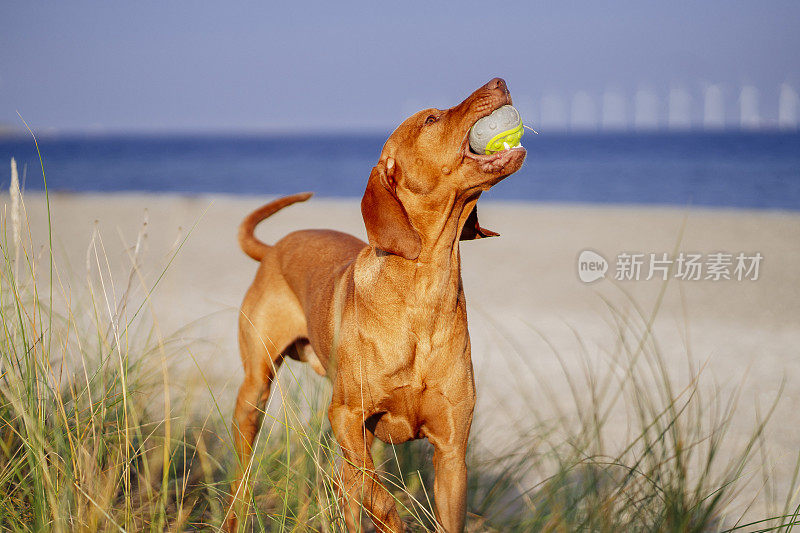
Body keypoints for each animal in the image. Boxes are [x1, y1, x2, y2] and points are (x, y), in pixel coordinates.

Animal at [227, 77, 524, 528]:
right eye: (430, 119)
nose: (500, 82)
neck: (424, 295)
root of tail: (274, 248)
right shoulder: (345, 416)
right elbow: (379, 497)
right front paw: (394, 522)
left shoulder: (452, 453)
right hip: (255, 393)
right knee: (245, 474)